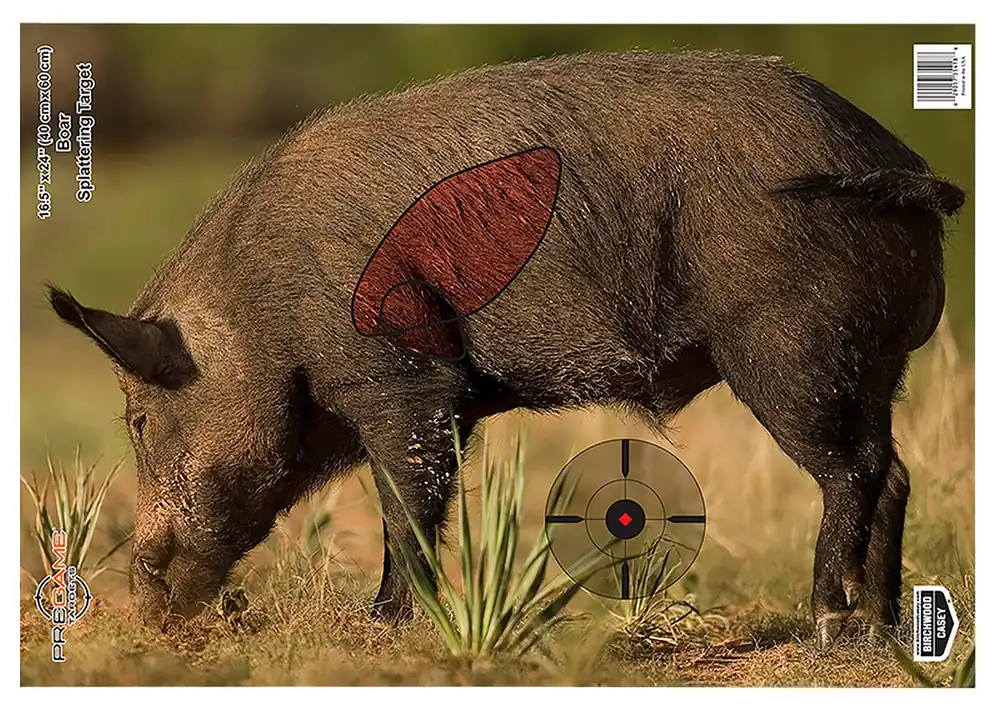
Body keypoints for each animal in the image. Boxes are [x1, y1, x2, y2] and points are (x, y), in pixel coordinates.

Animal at [48, 50, 965, 649]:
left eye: (139, 418)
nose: (142, 601)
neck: (261, 314)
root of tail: (903, 162)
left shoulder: (404, 379)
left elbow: (406, 504)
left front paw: (381, 626)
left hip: (791, 350)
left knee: (854, 470)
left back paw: (828, 623)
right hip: (876, 365)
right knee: (893, 469)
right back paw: (882, 628)